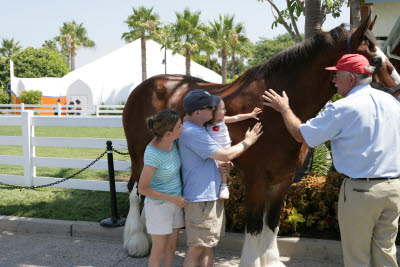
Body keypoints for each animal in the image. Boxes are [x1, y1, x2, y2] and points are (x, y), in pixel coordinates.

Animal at [122, 15, 400, 266]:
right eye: (375, 59)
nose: (397, 89)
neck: (274, 111)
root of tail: (145, 86)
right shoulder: (255, 179)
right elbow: (255, 224)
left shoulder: (282, 180)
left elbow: (272, 222)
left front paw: (271, 260)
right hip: (140, 155)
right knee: (135, 192)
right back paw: (136, 241)